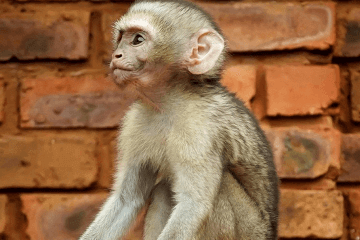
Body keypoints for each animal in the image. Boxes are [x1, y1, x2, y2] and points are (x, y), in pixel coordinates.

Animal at [80, 0, 280, 240]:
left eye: (137, 39)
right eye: (121, 38)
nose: (116, 55)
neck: (169, 102)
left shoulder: (199, 128)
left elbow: (193, 205)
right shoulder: (134, 122)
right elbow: (127, 200)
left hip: (249, 230)